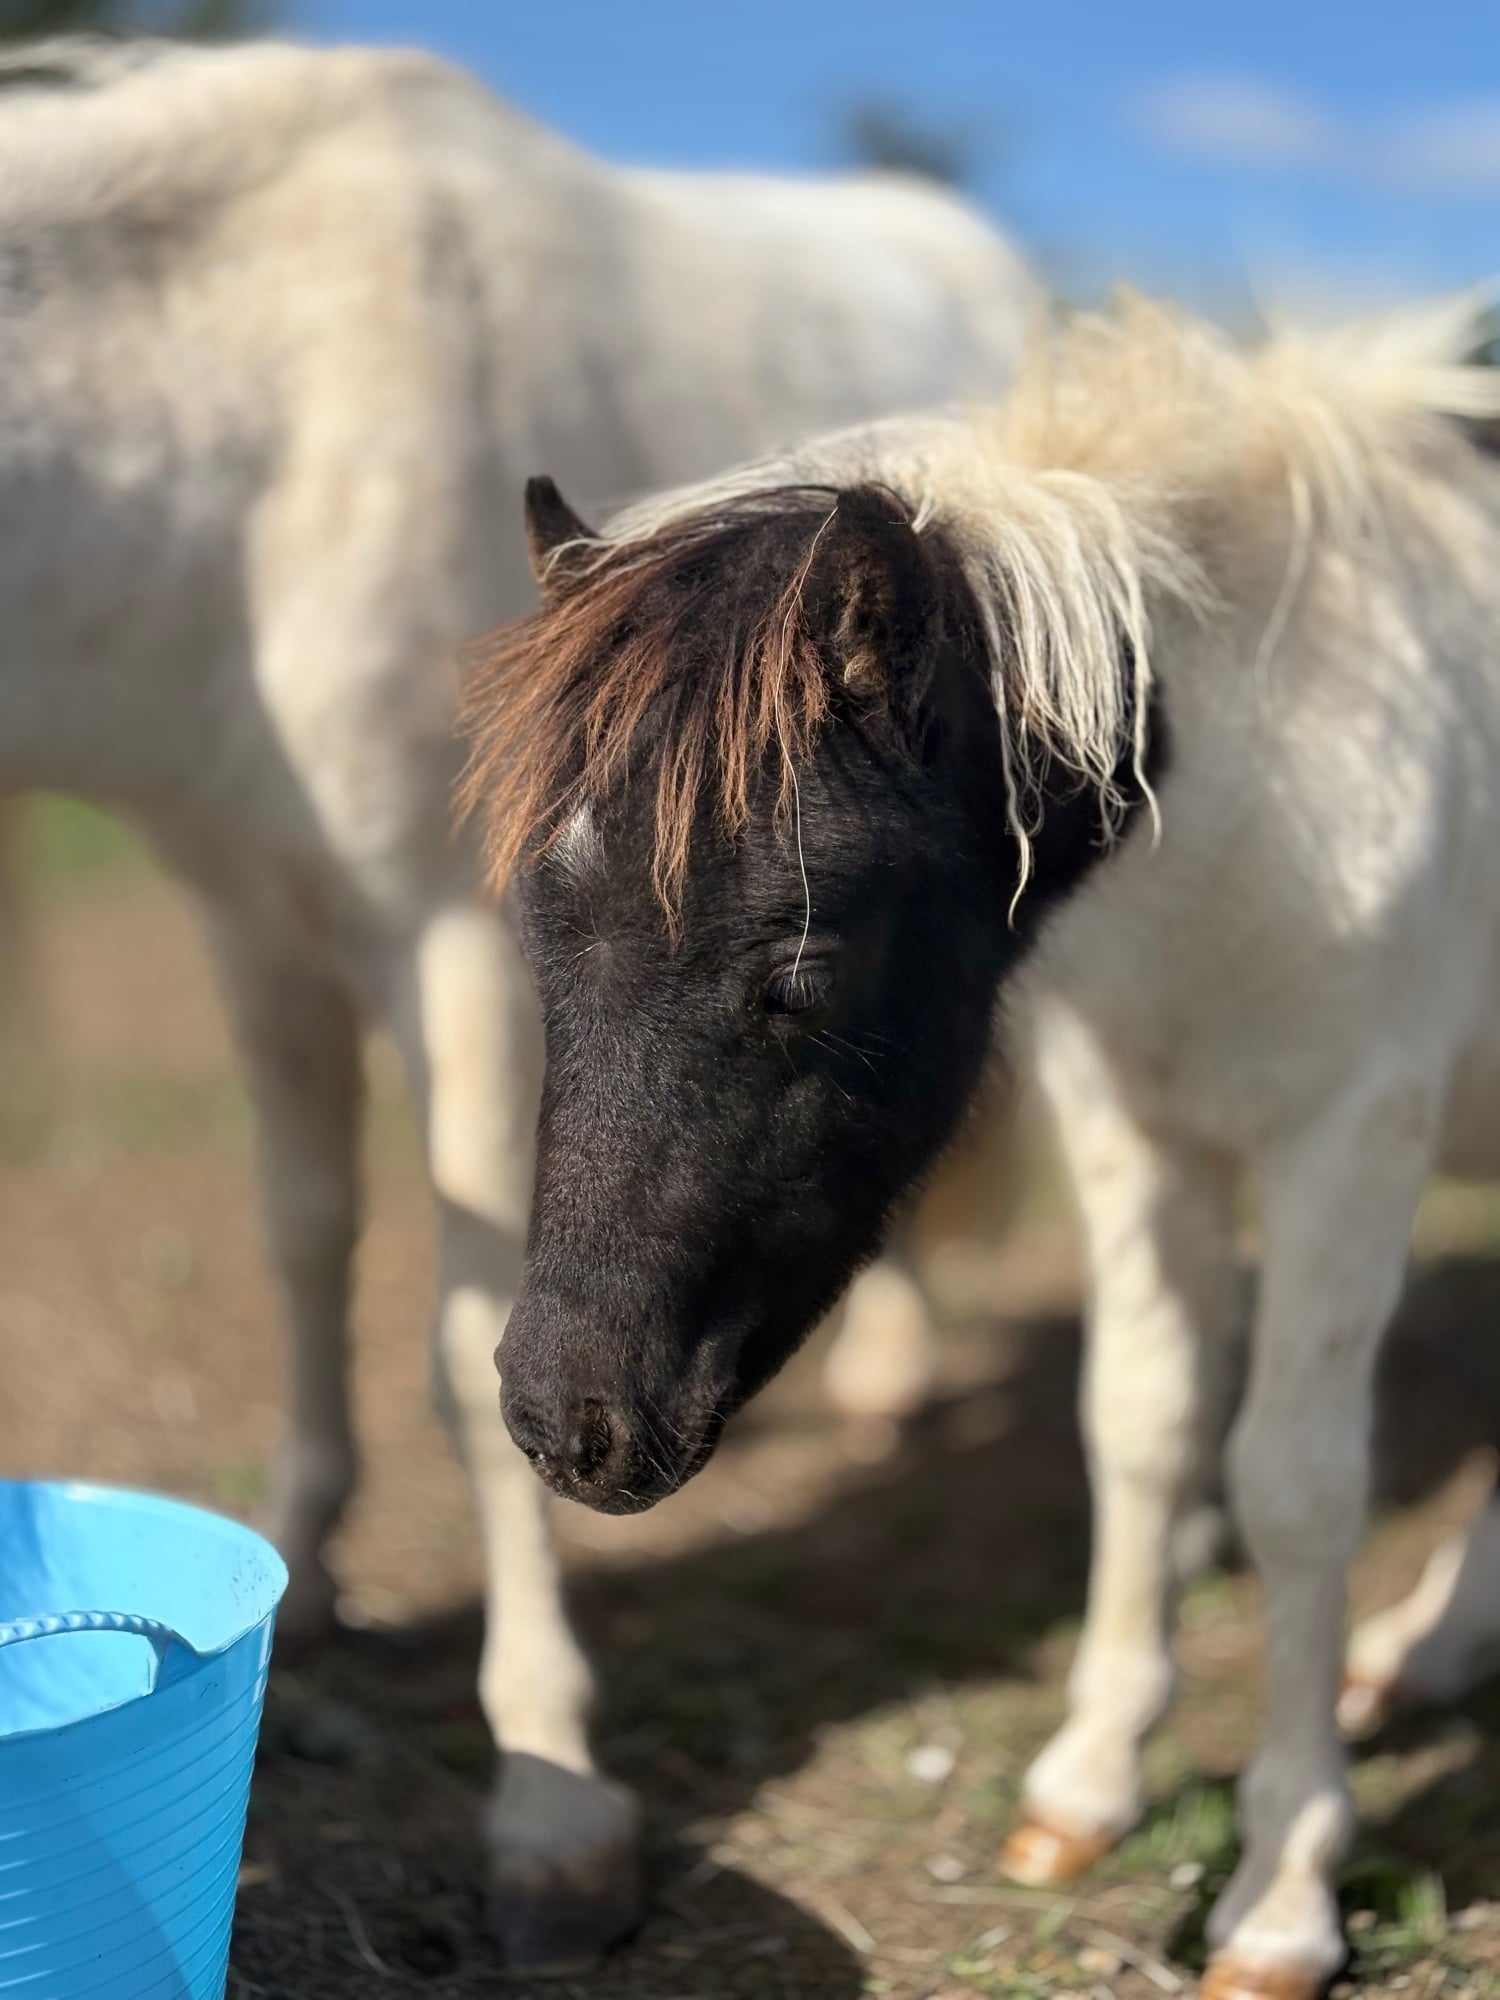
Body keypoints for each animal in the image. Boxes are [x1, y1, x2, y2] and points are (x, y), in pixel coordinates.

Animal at [0, 34, 1040, 1969]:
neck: (259, 410)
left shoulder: (463, 949)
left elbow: (469, 1329)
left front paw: (550, 1803)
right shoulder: (250, 917)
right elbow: (304, 1240)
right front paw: (299, 1577)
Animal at [462, 290, 1500, 1999]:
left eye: (796, 975)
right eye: (539, 942)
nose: (567, 1426)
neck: (1288, 797)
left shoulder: (1350, 1139)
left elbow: (1291, 1482)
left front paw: (1279, 1896)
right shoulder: (1137, 1127)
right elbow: (1141, 1424)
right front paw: (1085, 1787)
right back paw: (1433, 1646)